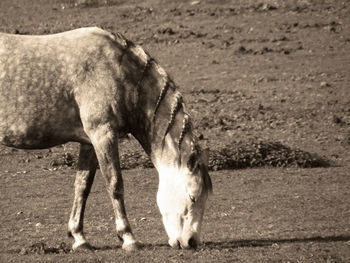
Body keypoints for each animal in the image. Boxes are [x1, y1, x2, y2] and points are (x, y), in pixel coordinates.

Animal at [0, 27, 212, 252]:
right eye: (193, 197)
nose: (191, 242)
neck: (119, 72)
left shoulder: (89, 142)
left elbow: (82, 186)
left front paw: (79, 238)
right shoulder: (103, 134)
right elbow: (115, 184)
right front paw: (128, 238)